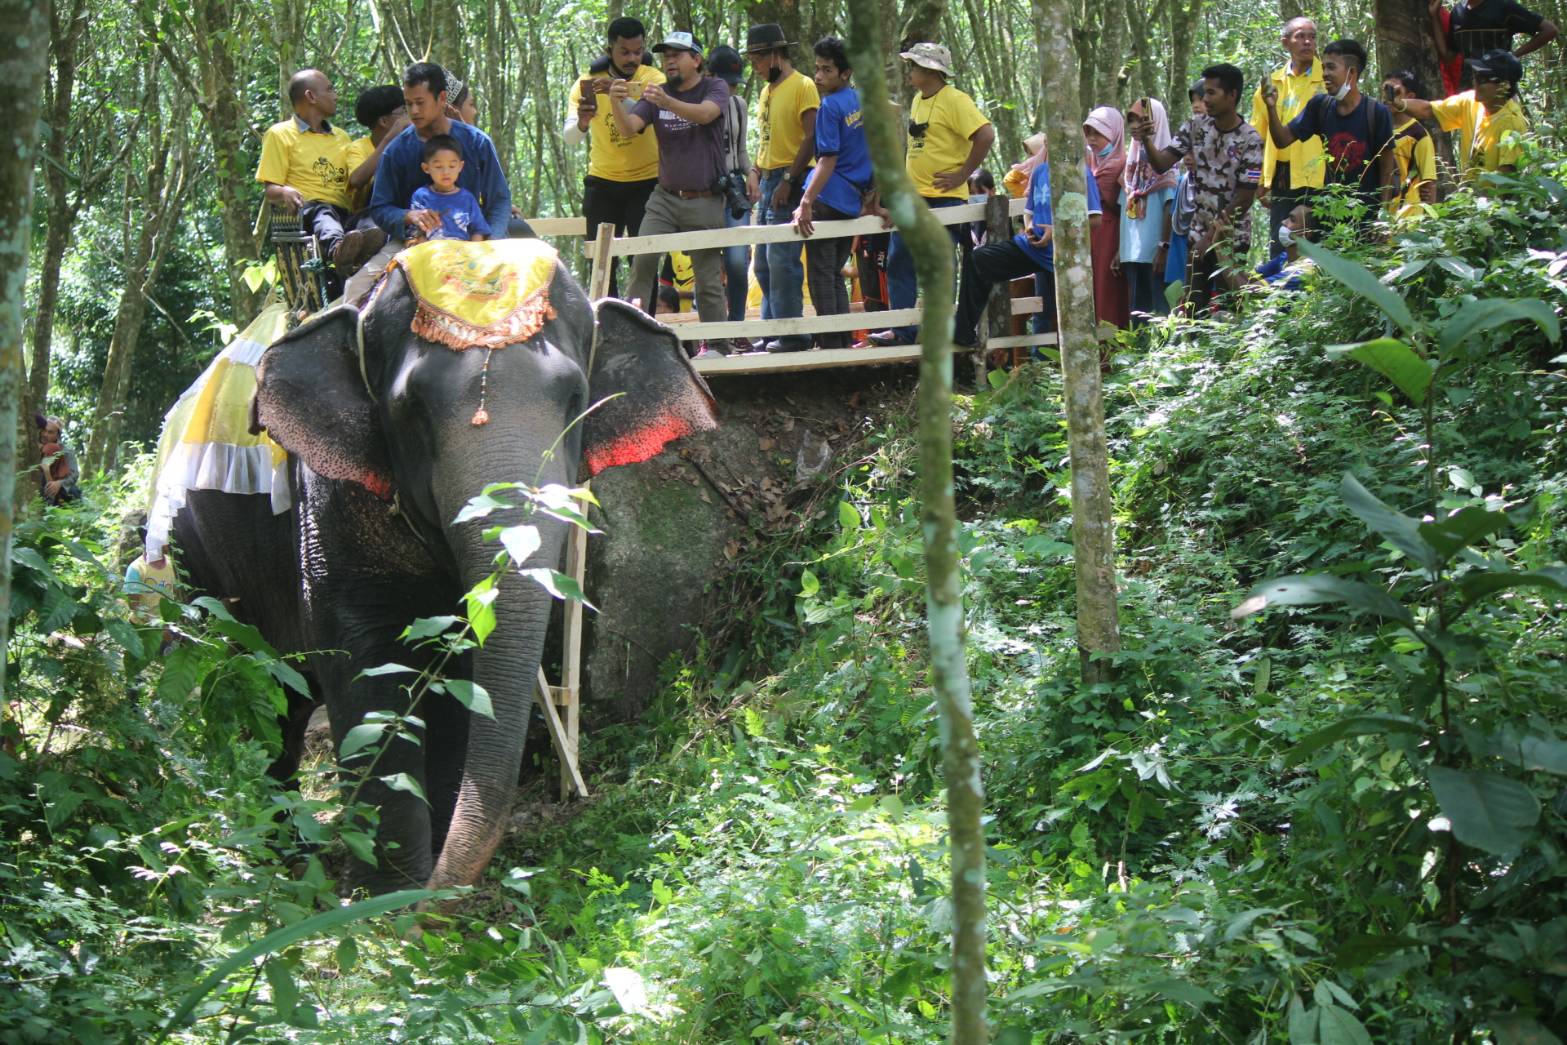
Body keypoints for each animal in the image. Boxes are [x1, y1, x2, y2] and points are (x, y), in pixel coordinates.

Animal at [168, 245, 717, 889]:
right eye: (411, 409)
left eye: (577, 400)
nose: (438, 889)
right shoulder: (328, 504)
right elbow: (366, 665)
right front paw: (390, 896)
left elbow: (464, 674)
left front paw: (420, 870)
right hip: (195, 557)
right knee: (260, 685)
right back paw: (276, 853)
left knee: (290, 696)